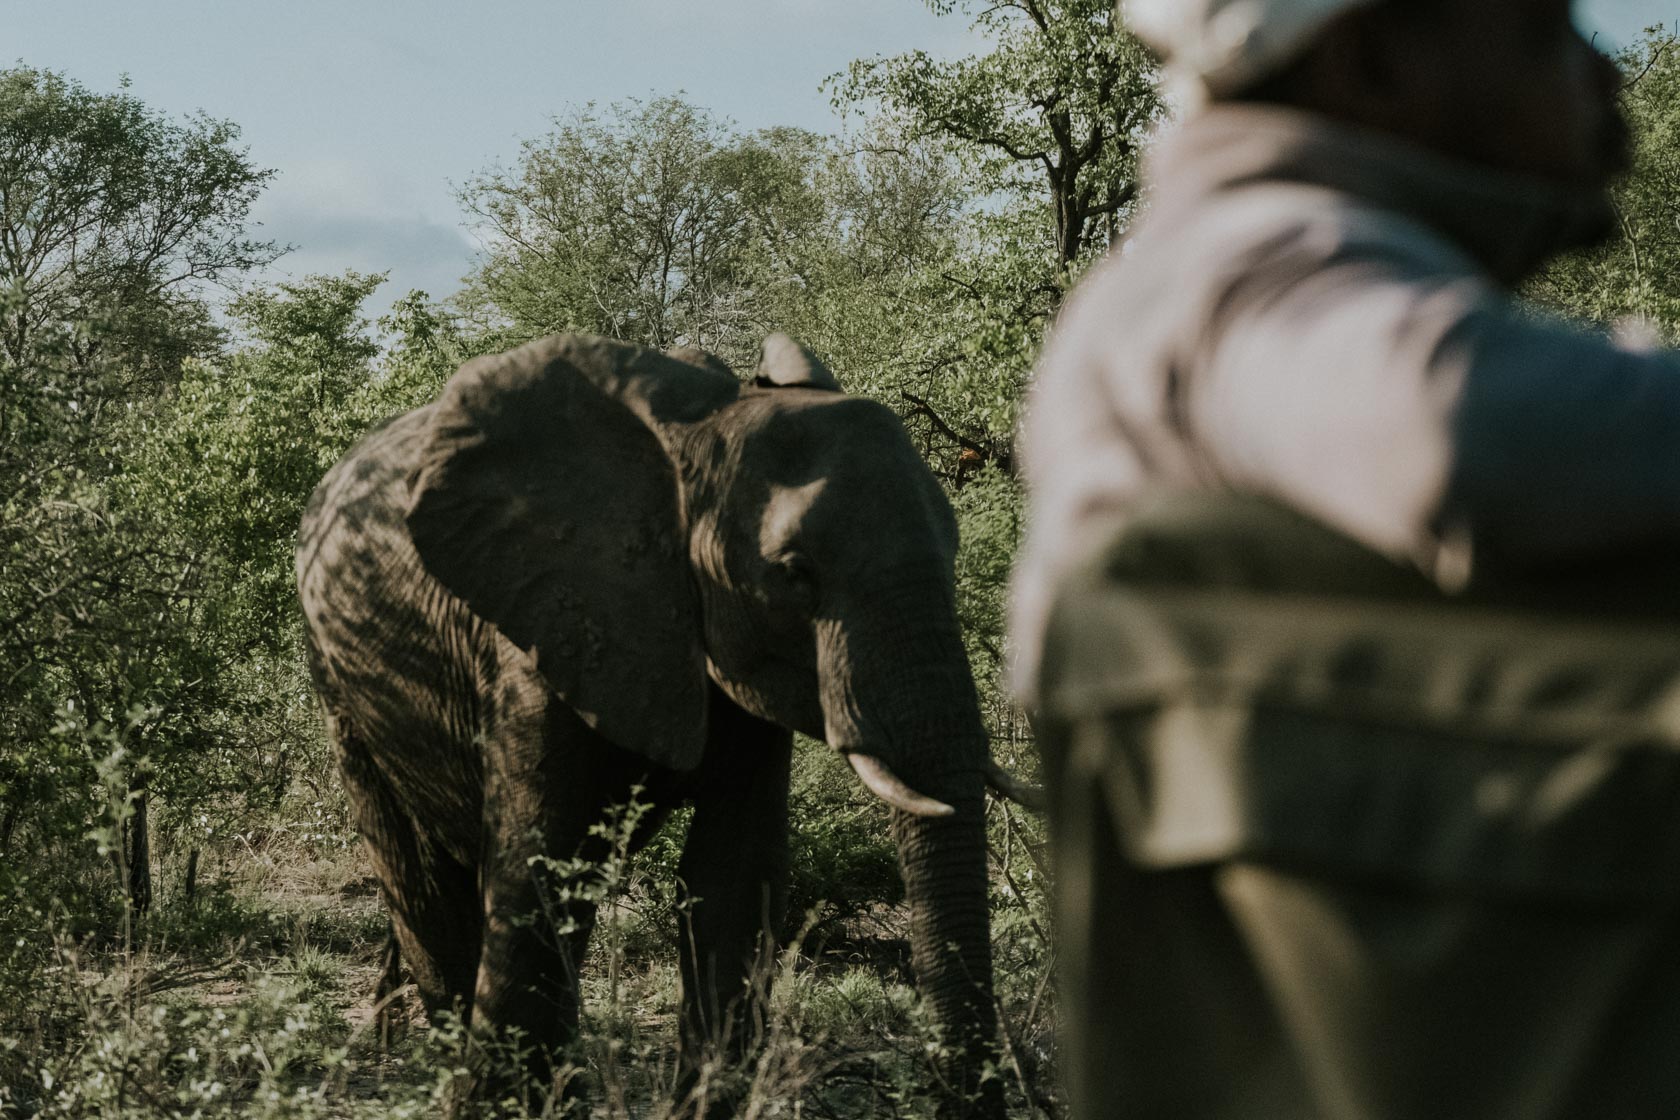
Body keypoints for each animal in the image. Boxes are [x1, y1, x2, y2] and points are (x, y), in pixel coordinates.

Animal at [295, 335, 1028, 1120]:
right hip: (340, 679)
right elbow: (534, 869)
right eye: (795, 573)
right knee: (421, 879)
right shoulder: (543, 623)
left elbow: (734, 873)